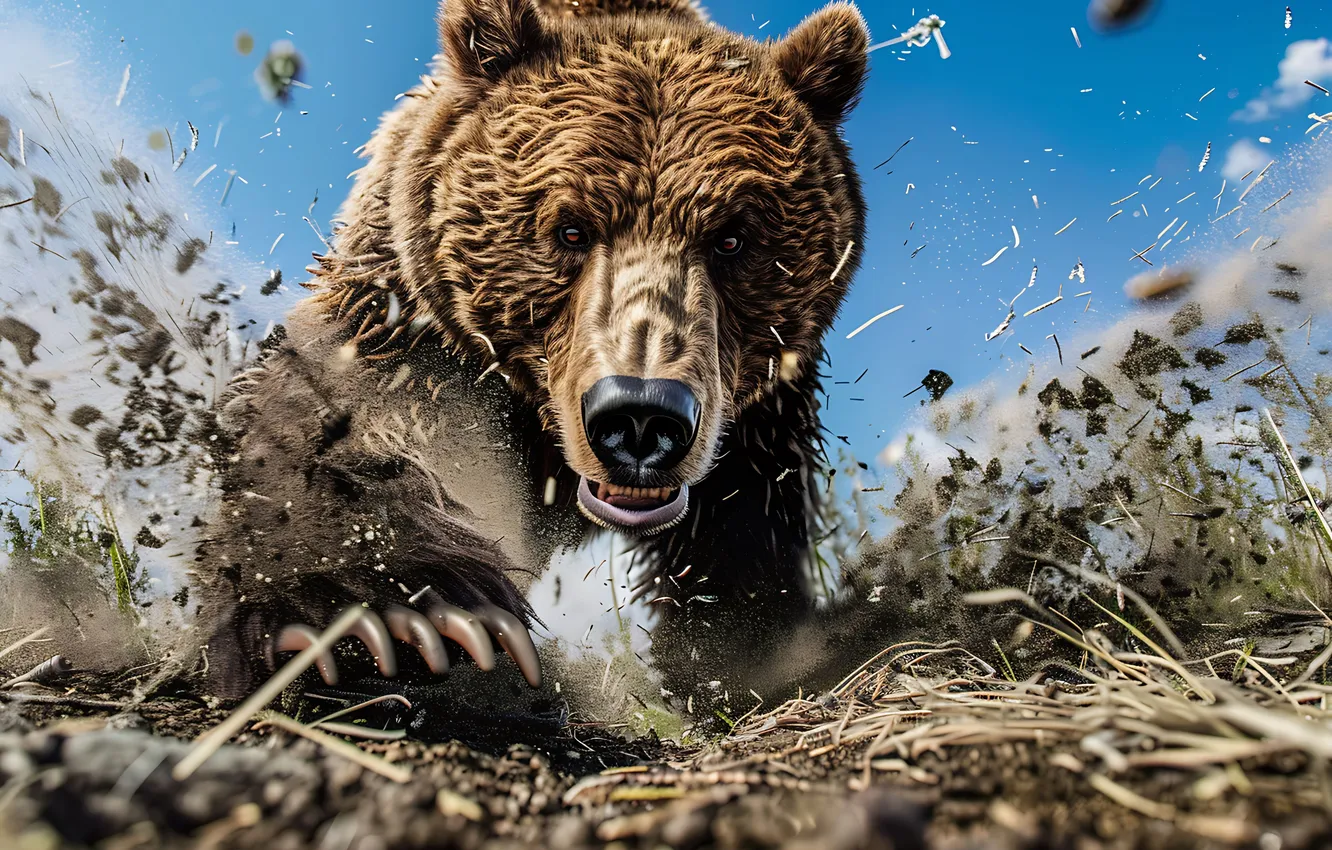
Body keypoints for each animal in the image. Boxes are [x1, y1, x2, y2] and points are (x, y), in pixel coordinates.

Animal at [192, 0, 869, 705]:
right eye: (570, 229)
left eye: (732, 239)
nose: (641, 416)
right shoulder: (414, 323)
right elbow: (330, 420)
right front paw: (389, 620)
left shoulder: (758, 417)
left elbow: (740, 538)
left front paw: (753, 655)